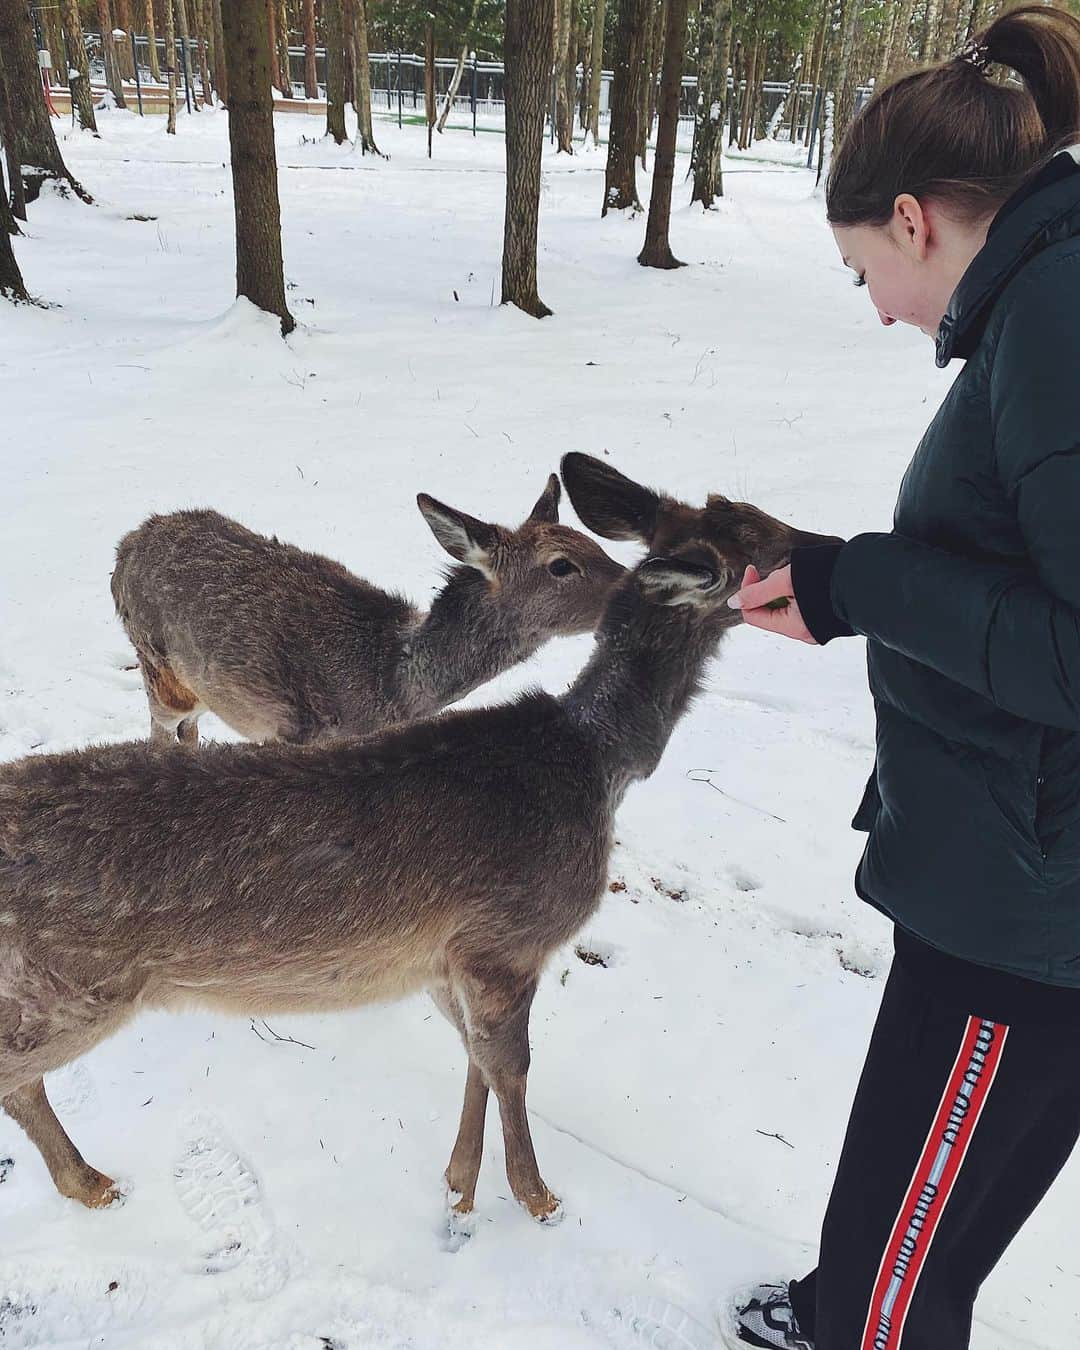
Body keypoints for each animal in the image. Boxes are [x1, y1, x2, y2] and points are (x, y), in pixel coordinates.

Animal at [109, 475, 623, 750]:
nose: (631, 583)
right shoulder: (298, 734)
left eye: (594, 541)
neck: (388, 686)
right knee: (161, 733)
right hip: (156, 664)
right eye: (561, 565)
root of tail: (126, 545)